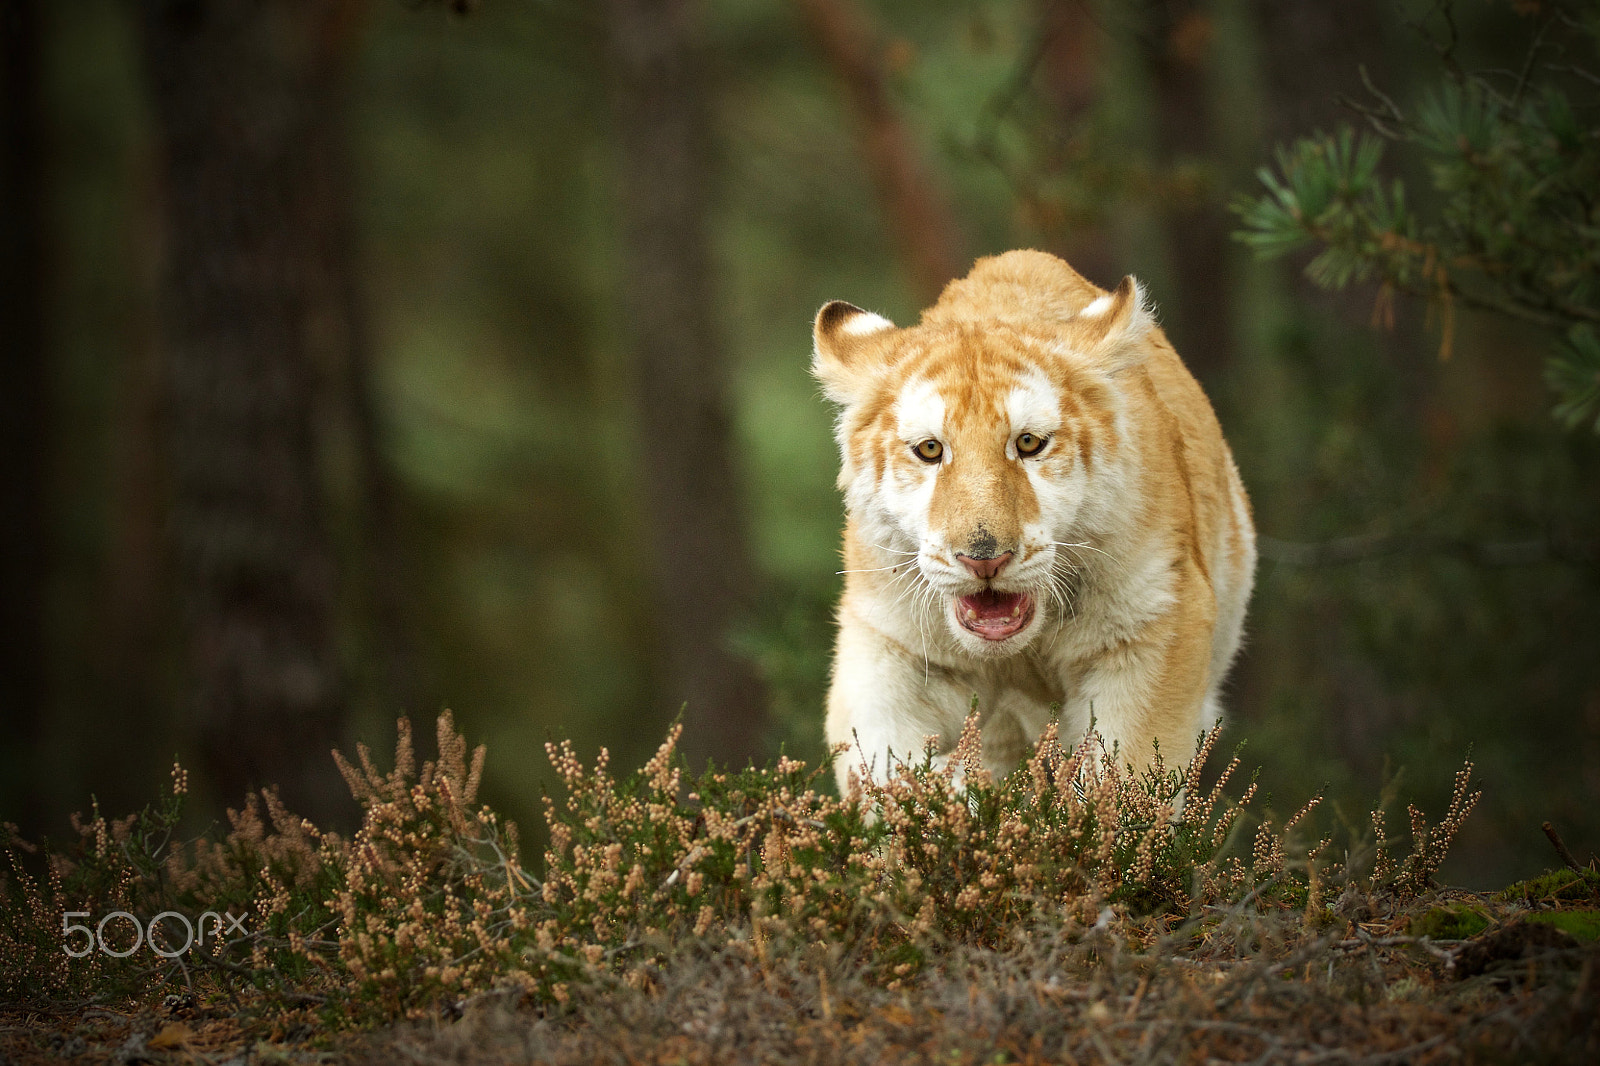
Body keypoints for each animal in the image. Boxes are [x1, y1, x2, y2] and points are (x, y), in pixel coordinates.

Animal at [819, 249, 1254, 793]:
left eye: (1028, 443)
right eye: (931, 449)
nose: (984, 559)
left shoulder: (1152, 629)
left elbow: (1126, 783)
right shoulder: (890, 646)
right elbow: (885, 772)